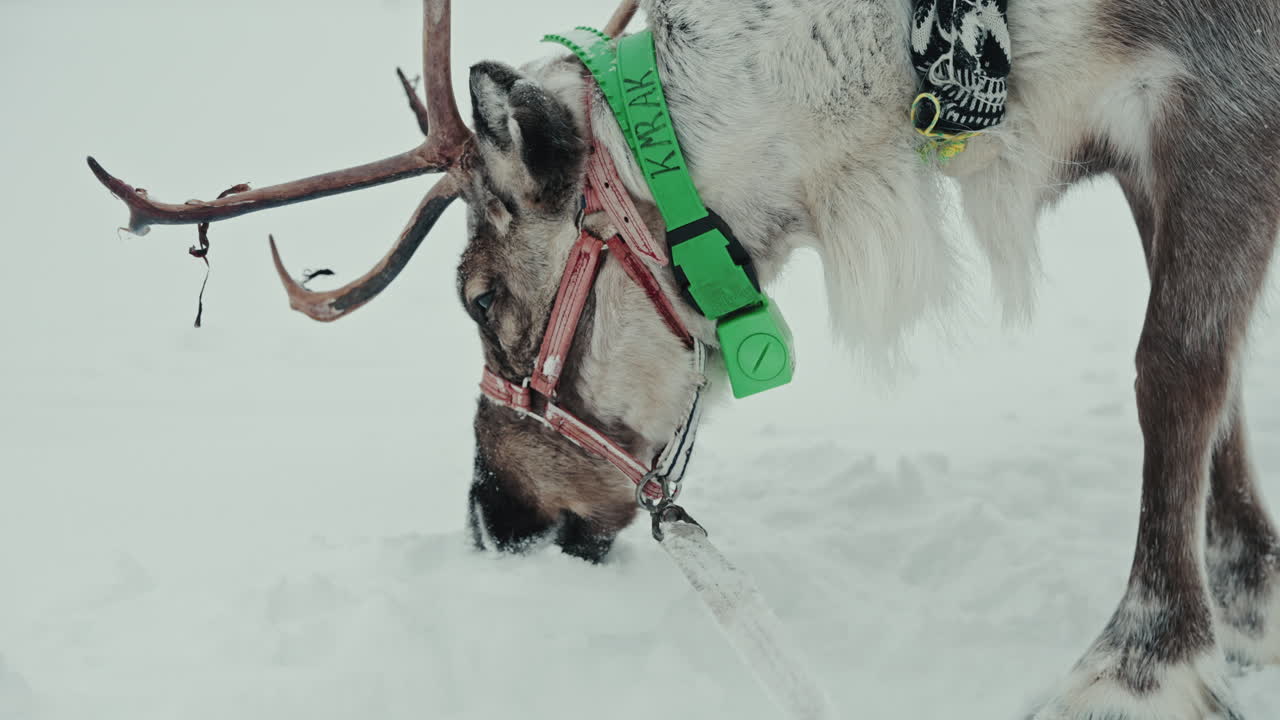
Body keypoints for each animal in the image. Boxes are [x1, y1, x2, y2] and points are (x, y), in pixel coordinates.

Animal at [87, 0, 1280, 717]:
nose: (490, 518)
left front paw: (1138, 666)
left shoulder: (1218, 102)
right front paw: (1249, 603)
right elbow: (1215, 383)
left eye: (478, 299)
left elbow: (1171, 370)